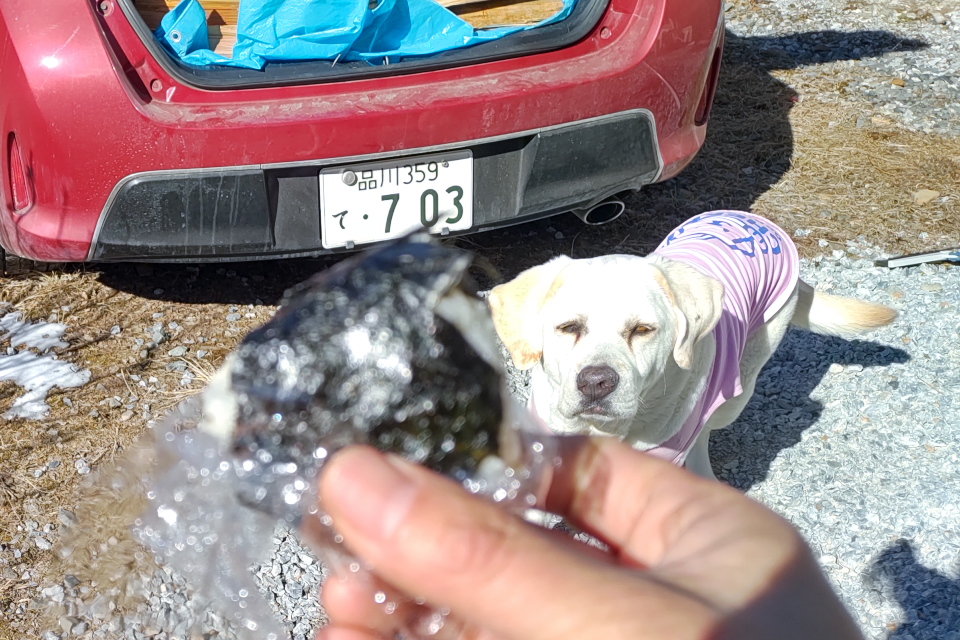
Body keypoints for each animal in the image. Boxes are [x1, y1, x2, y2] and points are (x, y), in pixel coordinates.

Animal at [488, 211, 898, 479]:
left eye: (642, 330)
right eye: (569, 327)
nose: (595, 382)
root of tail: (759, 221)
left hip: (739, 386)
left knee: (705, 432)